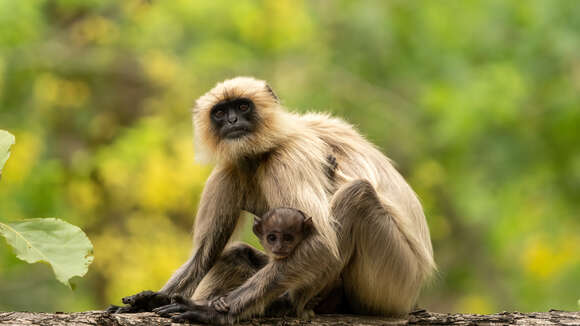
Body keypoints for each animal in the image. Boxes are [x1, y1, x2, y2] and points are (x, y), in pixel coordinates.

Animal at [111, 76, 432, 324]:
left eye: (243, 106)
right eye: (220, 112)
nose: (232, 121)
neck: (261, 153)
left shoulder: (287, 158)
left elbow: (320, 243)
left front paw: (214, 313)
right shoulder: (229, 170)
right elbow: (205, 253)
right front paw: (152, 299)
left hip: (395, 280)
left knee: (358, 195)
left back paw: (285, 305)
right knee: (236, 255)